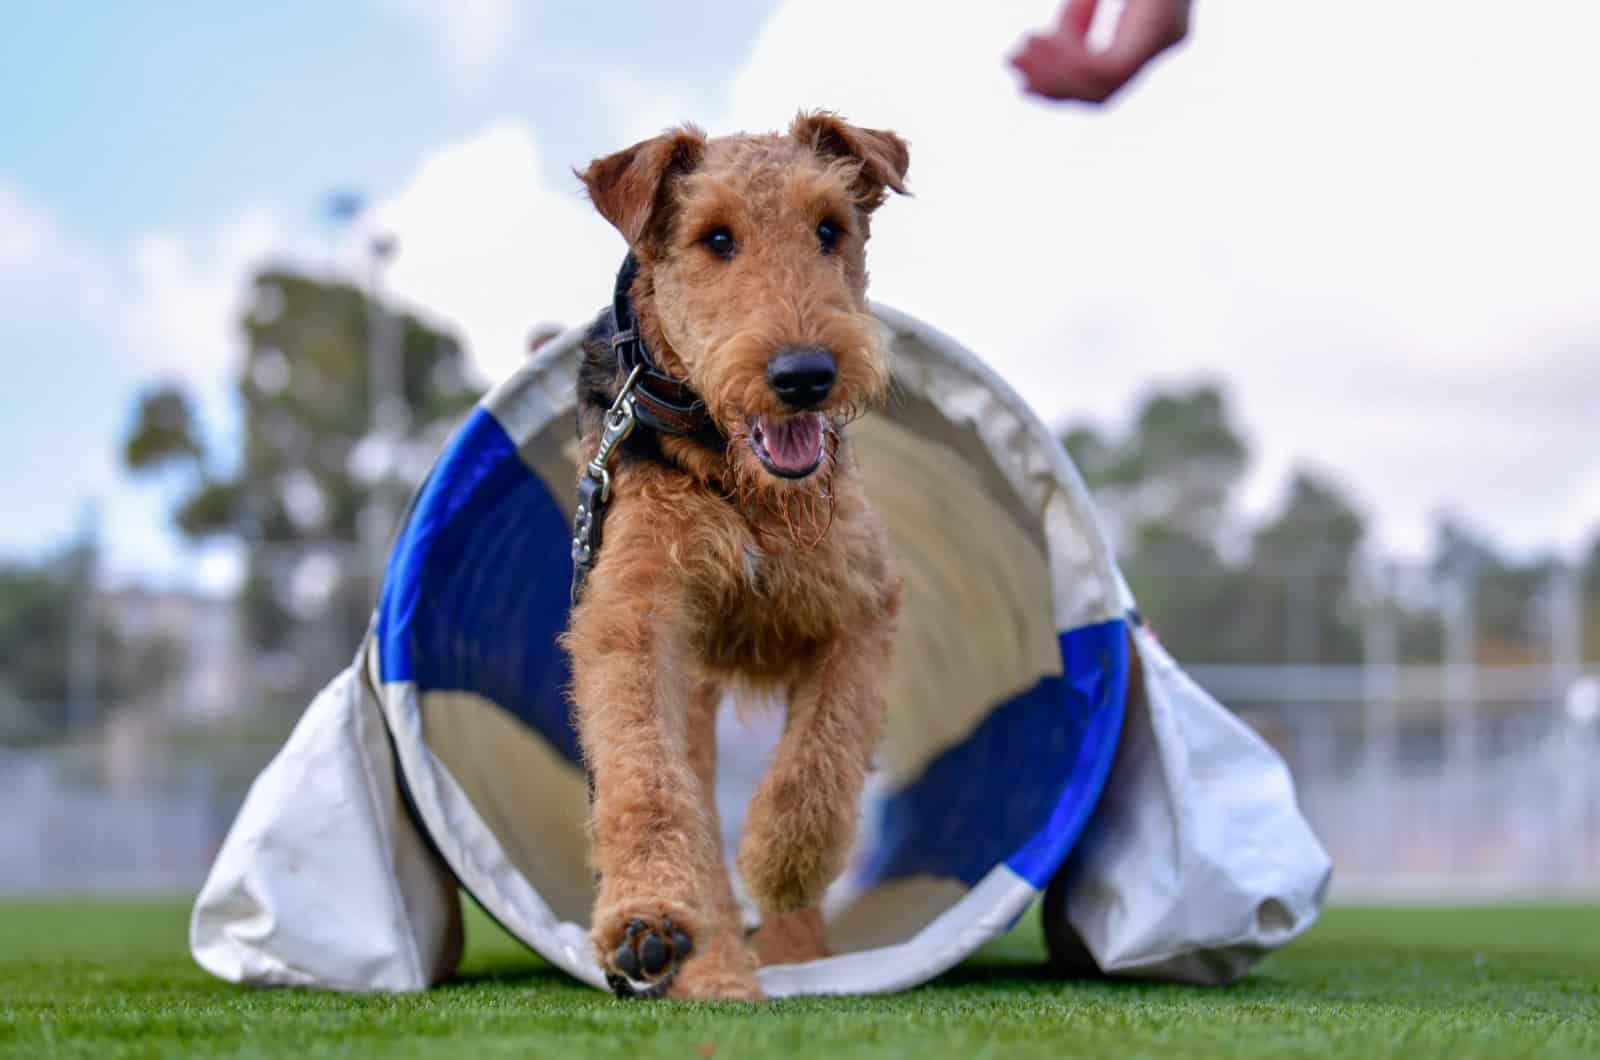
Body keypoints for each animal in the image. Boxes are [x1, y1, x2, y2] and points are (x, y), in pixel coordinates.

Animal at [563, 116, 908, 1005]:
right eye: (715, 238)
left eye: (830, 228)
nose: (804, 375)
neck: (736, 477)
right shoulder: (634, 615)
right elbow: (641, 774)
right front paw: (646, 919)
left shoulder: (858, 607)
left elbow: (822, 755)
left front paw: (783, 870)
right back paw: (704, 962)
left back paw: (791, 946)